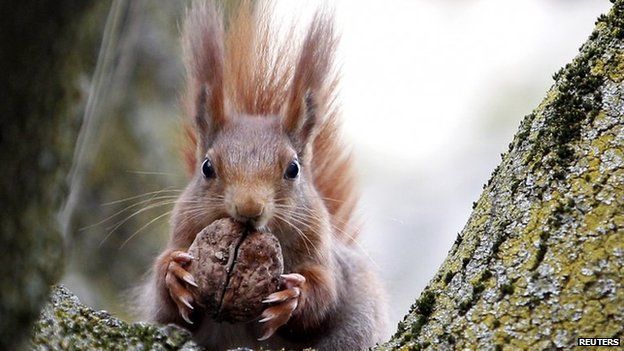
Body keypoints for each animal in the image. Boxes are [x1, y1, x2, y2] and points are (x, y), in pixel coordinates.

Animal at [139, 1, 388, 350]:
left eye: (293, 169)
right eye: (206, 167)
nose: (249, 208)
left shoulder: (324, 257)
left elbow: (324, 294)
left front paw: (292, 296)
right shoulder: (183, 232)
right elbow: (166, 307)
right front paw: (173, 274)